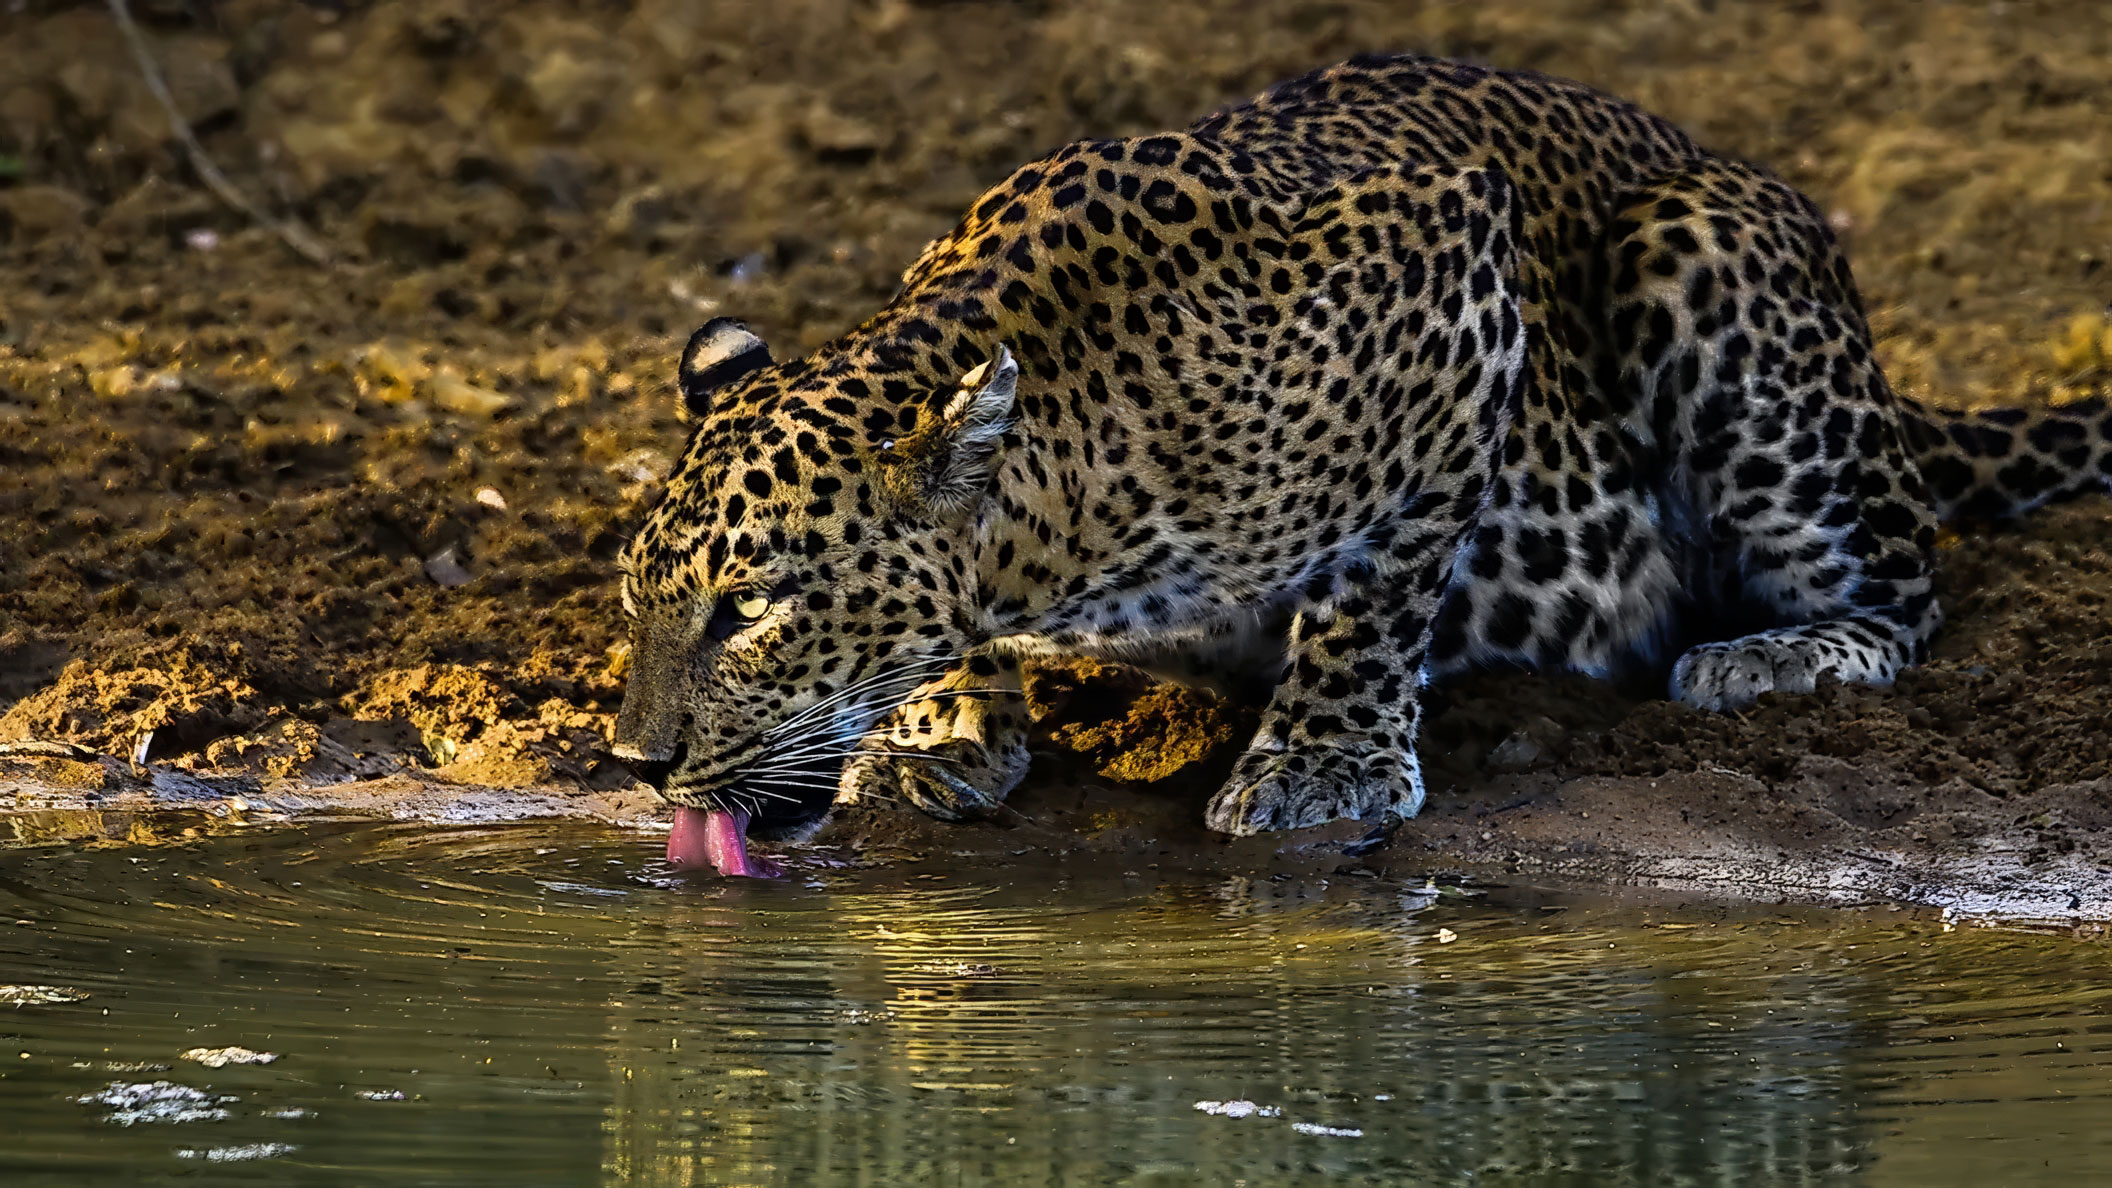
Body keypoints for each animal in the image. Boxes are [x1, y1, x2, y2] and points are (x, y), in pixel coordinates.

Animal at [604, 53, 2103, 870]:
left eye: (751, 609)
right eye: (640, 602)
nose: (630, 763)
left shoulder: (1460, 299)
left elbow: (1375, 589)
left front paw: (1325, 769)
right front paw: (938, 729)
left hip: (1704, 246)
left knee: (1903, 591)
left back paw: (1774, 655)